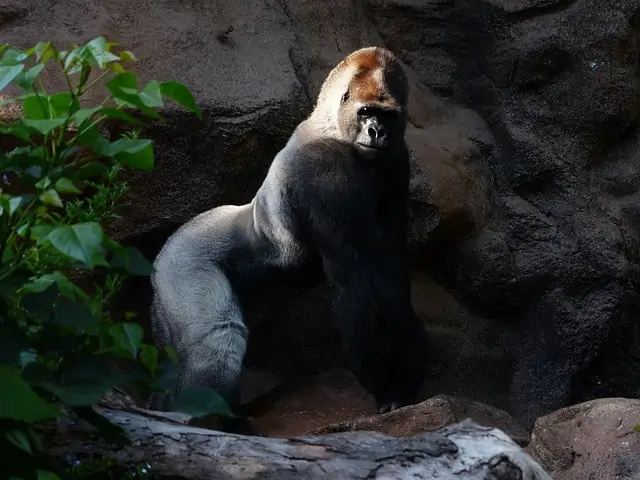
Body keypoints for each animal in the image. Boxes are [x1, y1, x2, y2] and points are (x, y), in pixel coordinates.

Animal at [150, 46, 428, 436]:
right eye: (366, 112)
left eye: (388, 115)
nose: (377, 132)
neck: (331, 122)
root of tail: (164, 250)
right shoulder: (326, 173)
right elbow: (362, 279)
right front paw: (395, 386)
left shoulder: (397, 161)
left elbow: (389, 265)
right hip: (183, 263)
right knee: (216, 341)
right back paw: (215, 420)